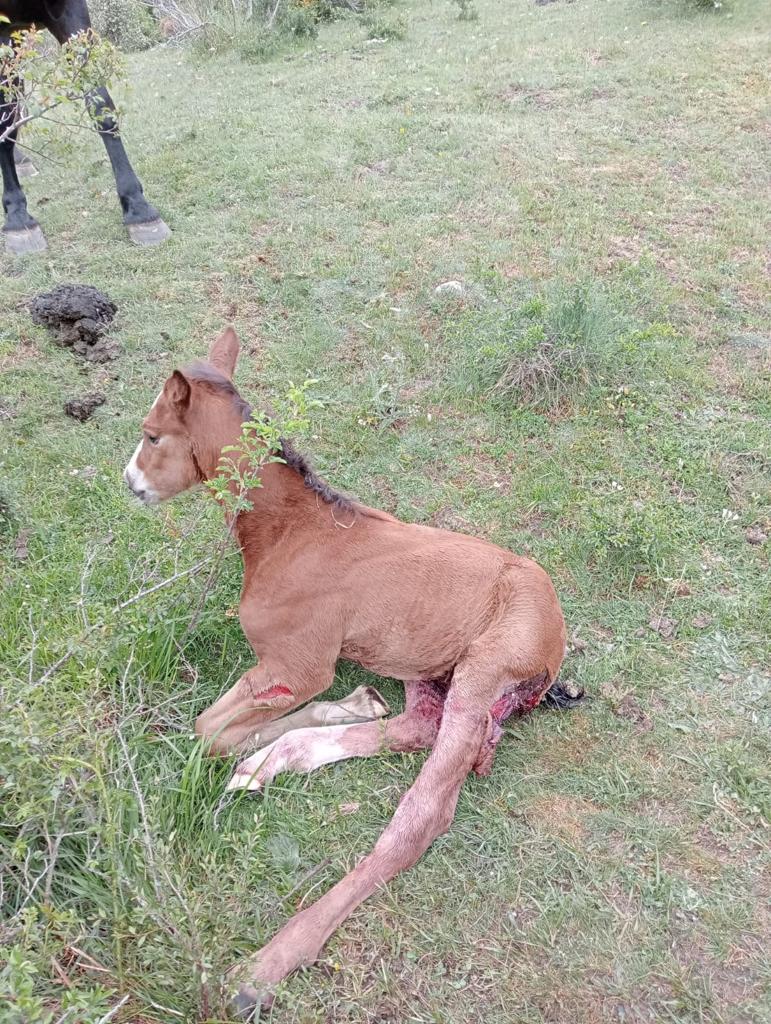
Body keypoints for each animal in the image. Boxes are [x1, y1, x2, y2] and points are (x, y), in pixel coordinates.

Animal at [121, 327, 565, 1015]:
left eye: (151, 434)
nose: (130, 482)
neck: (290, 533)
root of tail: (557, 642)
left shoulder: (299, 665)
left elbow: (209, 730)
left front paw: (256, 743)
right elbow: (224, 730)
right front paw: (291, 736)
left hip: (485, 672)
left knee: (421, 817)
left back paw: (264, 966)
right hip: (420, 659)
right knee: (415, 726)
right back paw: (285, 756)